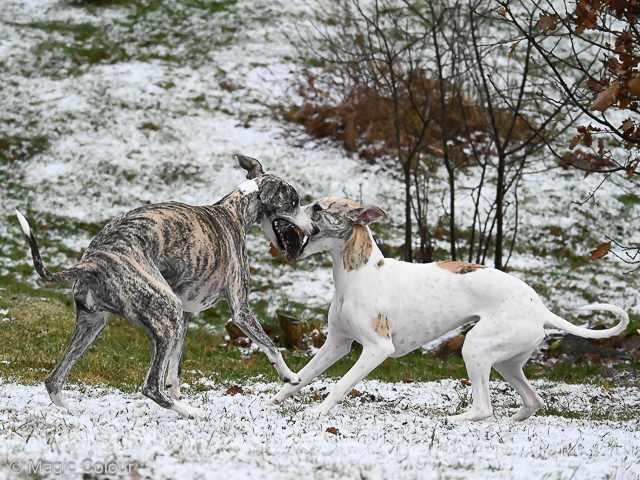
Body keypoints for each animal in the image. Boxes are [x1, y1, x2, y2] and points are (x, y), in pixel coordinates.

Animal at [15, 156, 316, 418]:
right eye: (294, 202)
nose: (313, 229)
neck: (232, 212)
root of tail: (94, 261)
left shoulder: (185, 314)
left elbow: (175, 364)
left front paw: (176, 387)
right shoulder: (240, 310)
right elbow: (271, 345)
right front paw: (290, 375)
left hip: (96, 324)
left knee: (54, 380)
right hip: (165, 311)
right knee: (150, 387)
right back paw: (194, 413)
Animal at [266, 197, 632, 422]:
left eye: (316, 208)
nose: (282, 219)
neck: (358, 273)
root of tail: (541, 308)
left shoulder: (377, 349)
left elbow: (341, 384)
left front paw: (317, 413)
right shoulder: (336, 344)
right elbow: (301, 377)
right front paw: (273, 400)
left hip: (476, 348)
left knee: (484, 407)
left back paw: (458, 420)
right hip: (507, 362)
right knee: (533, 401)